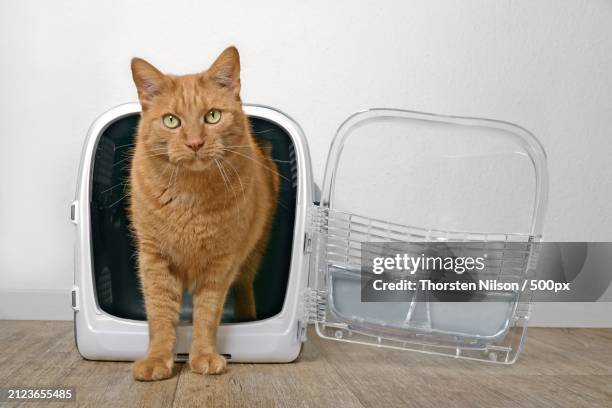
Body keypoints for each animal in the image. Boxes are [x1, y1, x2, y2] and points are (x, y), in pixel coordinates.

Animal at [130, 46, 280, 380]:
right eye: (171, 121)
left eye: (212, 116)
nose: (195, 143)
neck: (191, 197)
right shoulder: (154, 259)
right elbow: (160, 316)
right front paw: (156, 360)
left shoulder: (220, 263)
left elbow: (208, 315)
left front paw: (203, 356)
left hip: (251, 255)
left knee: (243, 287)